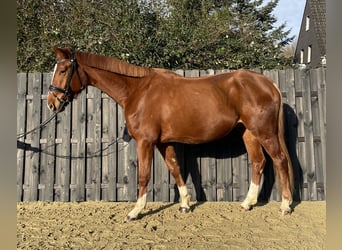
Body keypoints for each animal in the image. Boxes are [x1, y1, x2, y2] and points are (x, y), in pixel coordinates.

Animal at [47, 47, 294, 221]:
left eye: (63, 70)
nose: (52, 103)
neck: (138, 91)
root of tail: (268, 83)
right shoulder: (163, 143)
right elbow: (175, 169)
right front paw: (185, 204)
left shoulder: (145, 142)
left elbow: (144, 175)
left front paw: (136, 211)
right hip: (249, 133)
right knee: (258, 162)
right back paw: (247, 203)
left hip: (265, 132)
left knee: (280, 160)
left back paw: (285, 206)